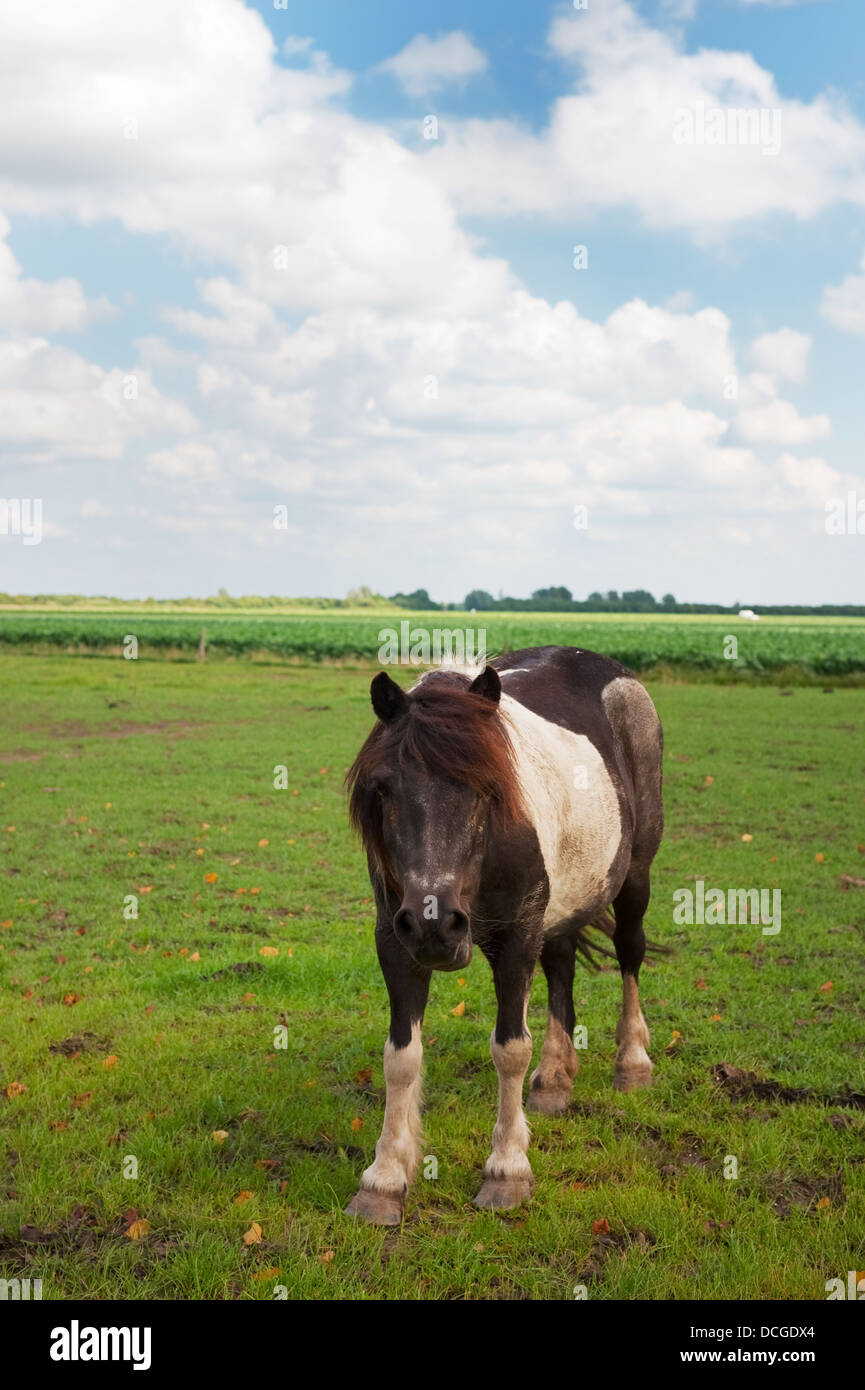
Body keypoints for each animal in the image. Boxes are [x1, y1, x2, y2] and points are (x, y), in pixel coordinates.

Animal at [344, 645, 664, 1224]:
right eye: (384, 789)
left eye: (485, 790)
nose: (435, 923)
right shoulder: (395, 941)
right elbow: (400, 1057)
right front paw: (384, 1179)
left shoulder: (516, 938)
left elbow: (510, 1048)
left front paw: (507, 1171)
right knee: (561, 967)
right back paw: (555, 1078)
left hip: (635, 875)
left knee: (630, 952)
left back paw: (632, 1063)